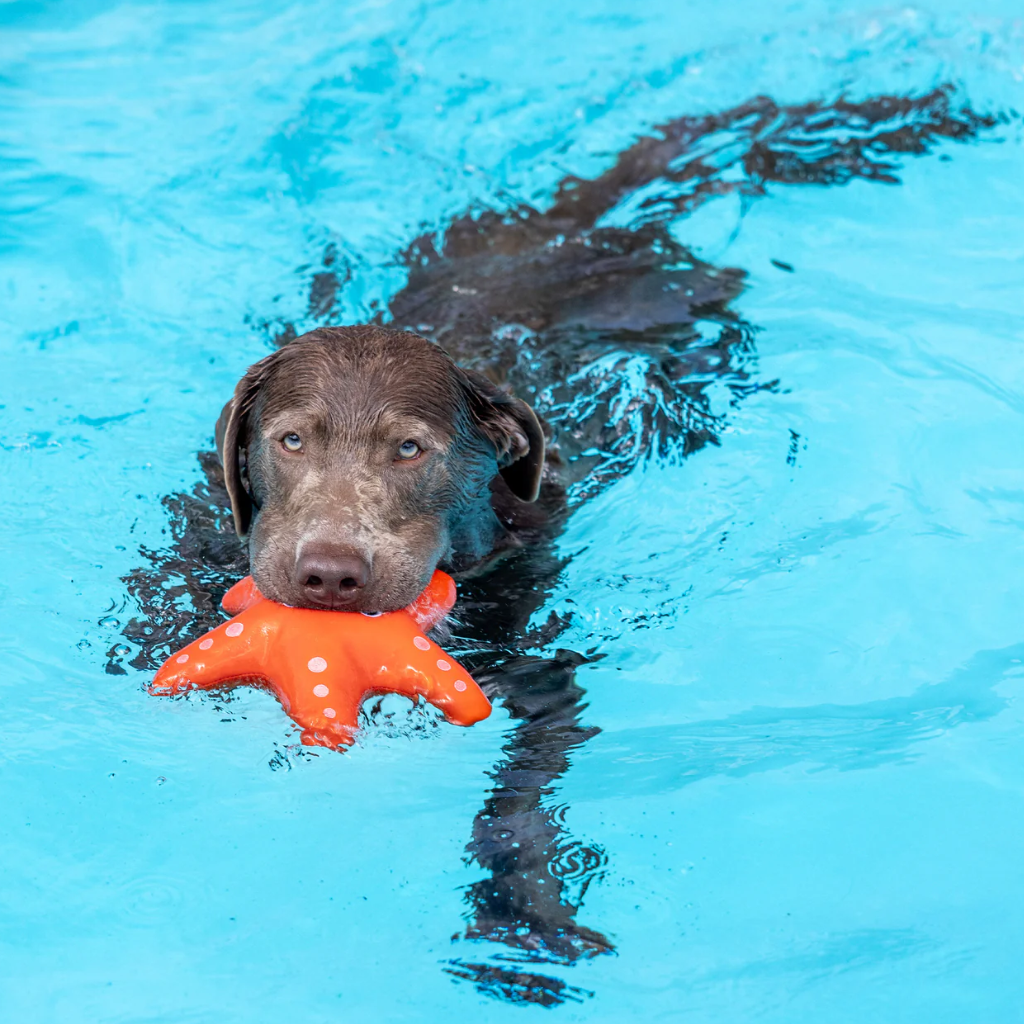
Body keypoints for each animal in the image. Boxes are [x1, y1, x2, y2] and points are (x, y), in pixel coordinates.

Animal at [114, 88, 991, 1007]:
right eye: (289, 440)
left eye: (410, 450)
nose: (329, 576)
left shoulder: (544, 677)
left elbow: (517, 801)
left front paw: (521, 915)